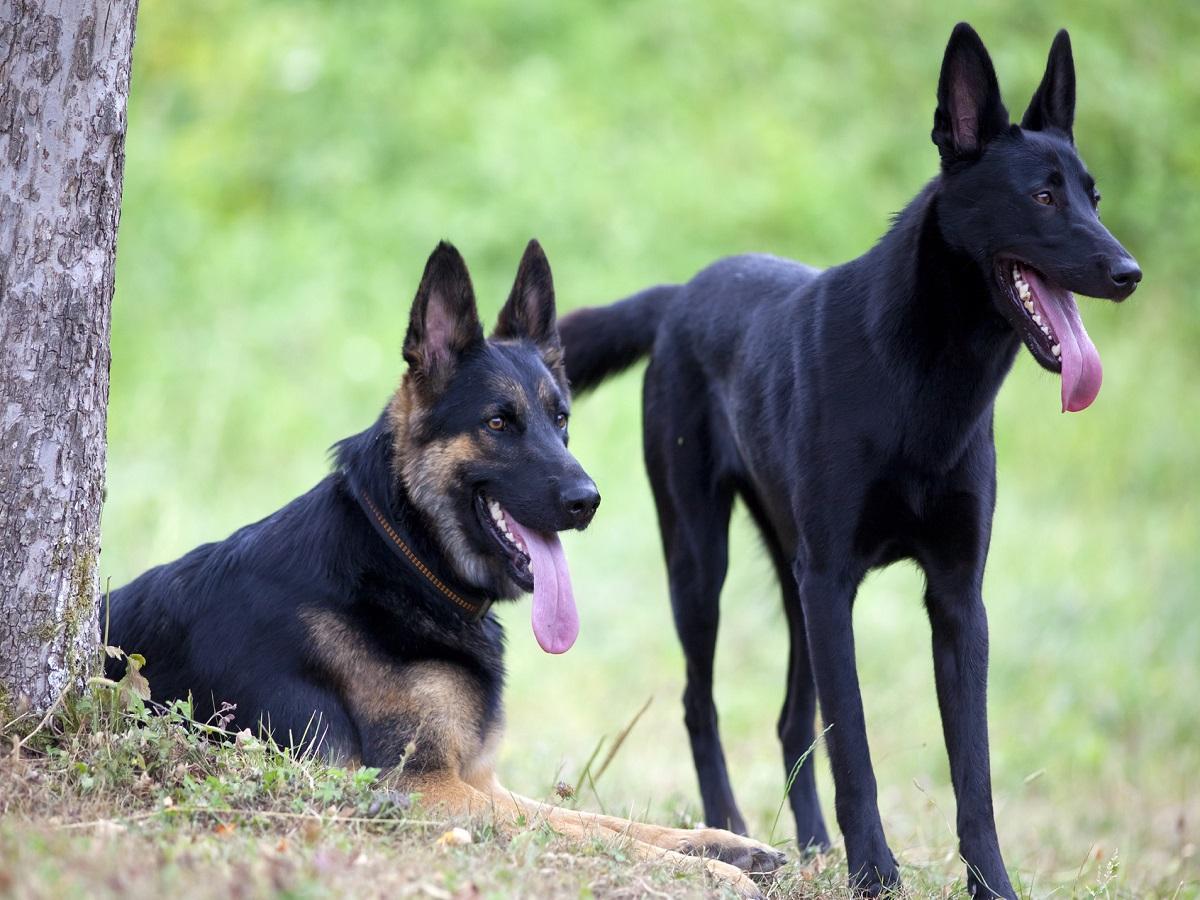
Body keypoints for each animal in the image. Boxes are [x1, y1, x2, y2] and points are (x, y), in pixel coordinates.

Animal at [556, 24, 1137, 897]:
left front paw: (990, 883)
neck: (924, 379)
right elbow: (855, 747)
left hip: (793, 578)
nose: (1129, 273)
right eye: (1041, 198)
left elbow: (973, 770)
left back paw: (811, 848)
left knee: (791, 716)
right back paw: (729, 830)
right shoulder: (833, 583)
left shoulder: (954, 598)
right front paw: (875, 875)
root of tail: (681, 294)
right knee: (703, 703)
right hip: (702, 561)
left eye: (1093, 199)